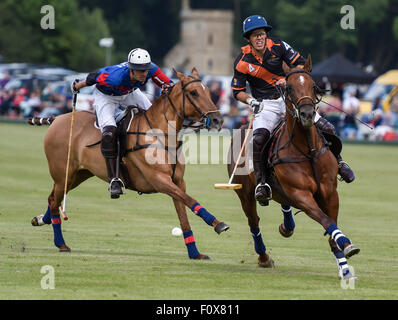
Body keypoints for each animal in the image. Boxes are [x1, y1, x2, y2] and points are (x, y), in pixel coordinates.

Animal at [30, 68, 230, 260]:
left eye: (208, 91)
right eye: (194, 93)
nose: (218, 120)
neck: (160, 134)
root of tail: (57, 119)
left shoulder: (178, 181)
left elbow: (184, 215)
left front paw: (195, 253)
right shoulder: (159, 180)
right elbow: (191, 201)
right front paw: (219, 224)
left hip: (79, 174)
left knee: (53, 199)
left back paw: (41, 220)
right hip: (63, 173)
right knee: (54, 199)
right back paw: (61, 243)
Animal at [227, 57, 360, 280]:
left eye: (313, 85)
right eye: (289, 87)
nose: (307, 114)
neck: (308, 150)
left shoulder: (330, 193)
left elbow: (331, 226)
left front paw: (345, 267)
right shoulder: (301, 194)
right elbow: (326, 221)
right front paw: (346, 244)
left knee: (283, 205)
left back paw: (286, 227)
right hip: (244, 192)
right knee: (254, 222)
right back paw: (264, 258)